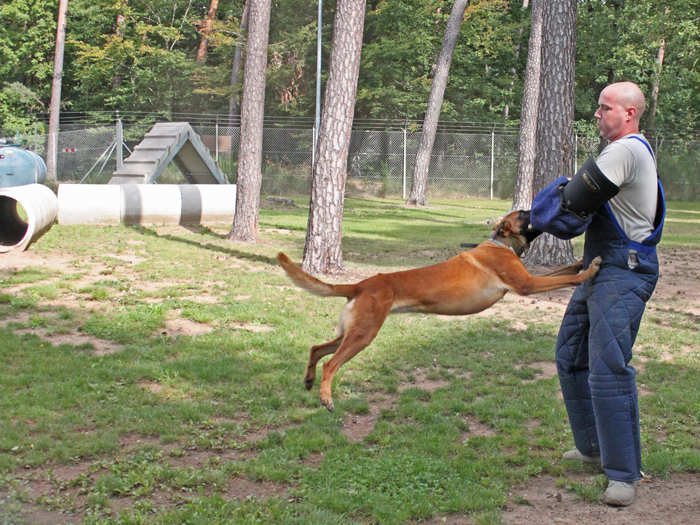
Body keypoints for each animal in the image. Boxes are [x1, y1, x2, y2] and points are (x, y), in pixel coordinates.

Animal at [276, 209, 600, 410]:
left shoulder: (530, 279)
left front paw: (580, 261)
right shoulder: (527, 284)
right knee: (330, 364)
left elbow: (562, 271)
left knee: (317, 348)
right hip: (363, 335)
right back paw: (326, 398)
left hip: (351, 333)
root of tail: (360, 284)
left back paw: (309, 381)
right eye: (523, 214)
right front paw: (590, 269)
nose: (541, 204)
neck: (501, 244)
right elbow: (565, 278)